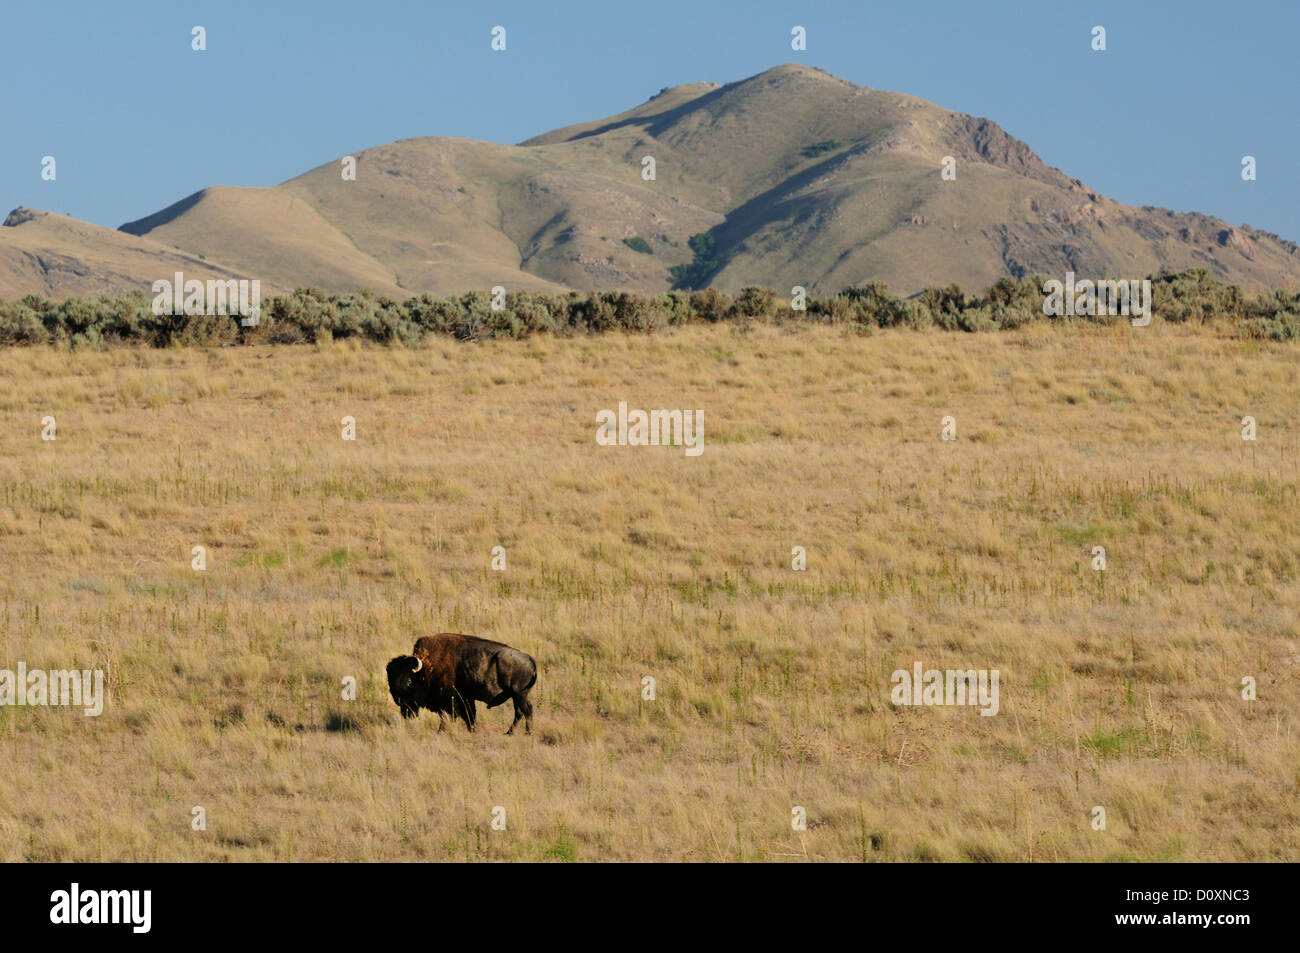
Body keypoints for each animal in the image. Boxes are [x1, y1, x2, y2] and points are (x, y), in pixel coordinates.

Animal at [384, 634, 533, 733]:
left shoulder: (452, 701)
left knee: (526, 711)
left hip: (519, 695)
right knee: (520, 712)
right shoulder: (465, 699)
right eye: (390, 680)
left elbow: (456, 717)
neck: (426, 670)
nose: (399, 701)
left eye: (408, 680)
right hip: (517, 696)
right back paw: (510, 733)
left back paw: (526, 733)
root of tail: (530, 660)